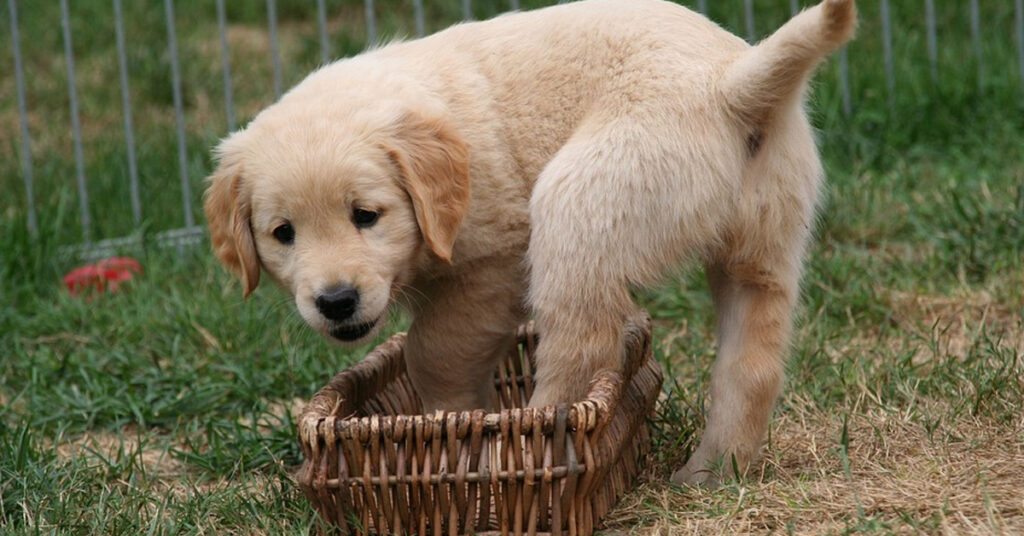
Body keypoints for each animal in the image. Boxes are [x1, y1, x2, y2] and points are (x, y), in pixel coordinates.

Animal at [205, 0, 856, 485]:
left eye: (366, 216)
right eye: (283, 234)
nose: (336, 302)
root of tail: (727, 86)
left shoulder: (492, 264)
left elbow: (433, 349)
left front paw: (452, 419)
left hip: (577, 204)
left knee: (579, 346)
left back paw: (528, 442)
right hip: (764, 244)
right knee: (752, 366)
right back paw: (712, 472)